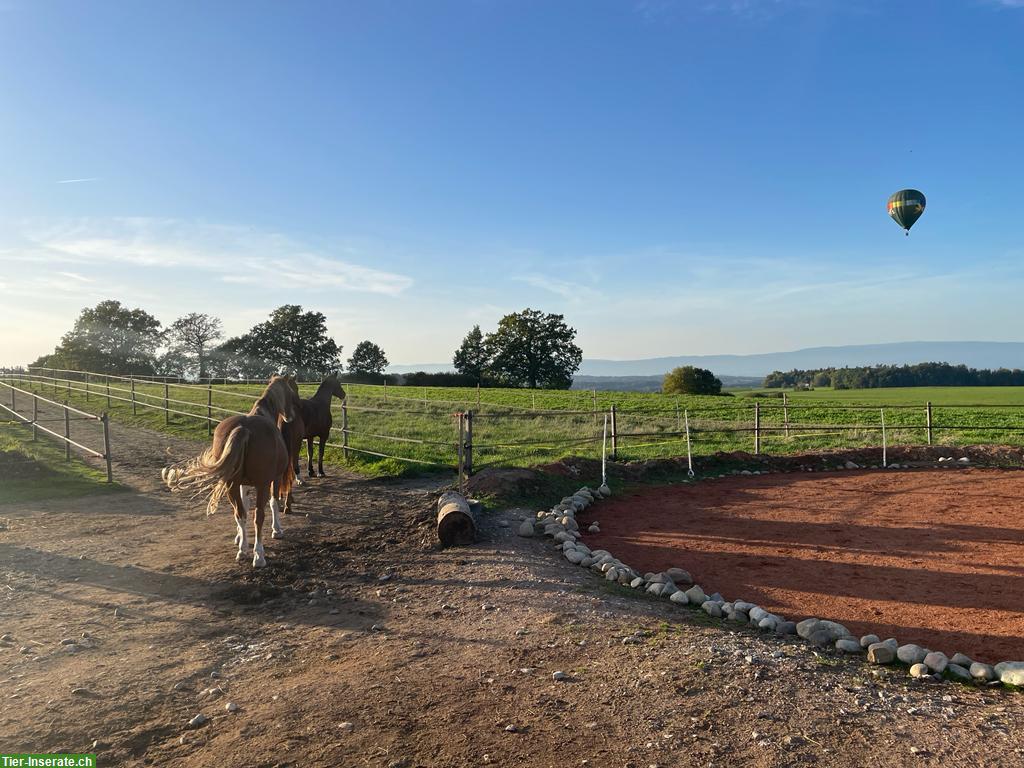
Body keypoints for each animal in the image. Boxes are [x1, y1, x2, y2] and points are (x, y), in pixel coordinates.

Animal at [163, 376, 299, 569]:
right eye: (291, 391)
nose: (291, 416)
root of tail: (243, 429)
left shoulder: (243, 484)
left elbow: (244, 506)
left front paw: (240, 538)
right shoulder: (274, 479)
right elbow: (274, 503)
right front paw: (277, 530)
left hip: (231, 484)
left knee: (240, 513)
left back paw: (242, 551)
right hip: (261, 484)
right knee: (259, 515)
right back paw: (259, 556)